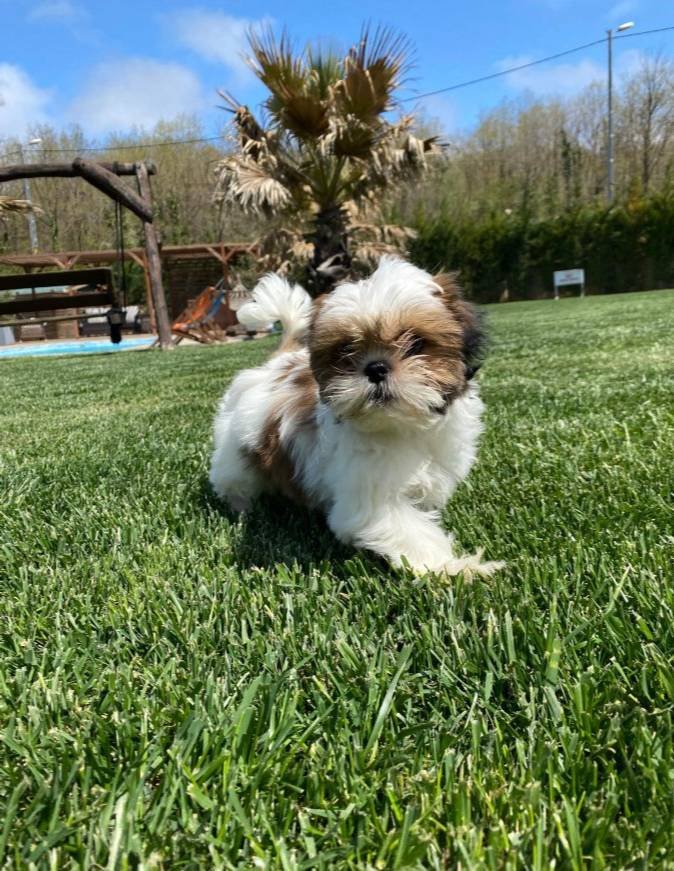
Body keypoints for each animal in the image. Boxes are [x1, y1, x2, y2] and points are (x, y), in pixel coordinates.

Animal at [209, 256, 502, 577]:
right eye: (347, 349)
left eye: (416, 344)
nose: (376, 367)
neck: (403, 426)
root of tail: (277, 361)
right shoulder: (370, 496)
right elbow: (409, 530)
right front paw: (452, 567)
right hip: (236, 449)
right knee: (234, 476)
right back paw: (242, 505)